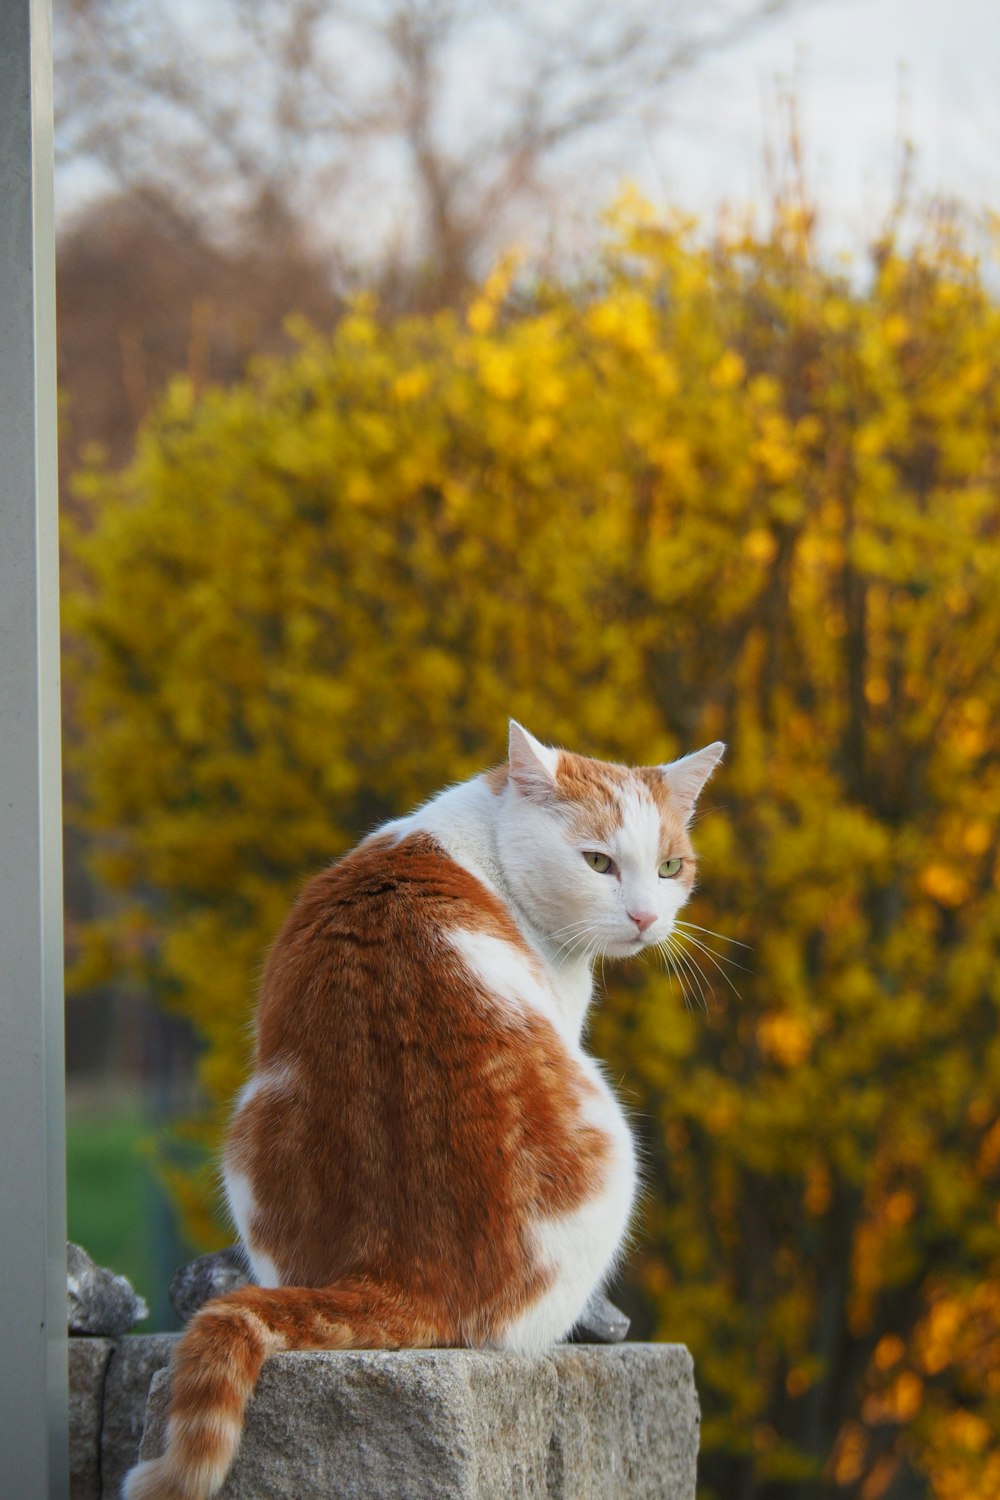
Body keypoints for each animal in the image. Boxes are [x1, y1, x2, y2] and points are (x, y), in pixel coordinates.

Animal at [125, 720, 722, 1494]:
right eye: (598, 862)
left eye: (671, 866)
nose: (647, 917)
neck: (485, 837)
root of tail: (403, 1277)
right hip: (613, 1141)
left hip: (252, 1124)